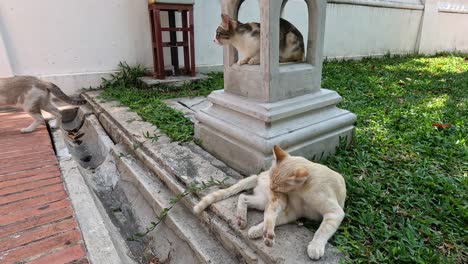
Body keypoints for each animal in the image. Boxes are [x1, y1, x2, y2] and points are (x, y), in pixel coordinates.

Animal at [192, 145, 346, 260]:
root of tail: (259, 174)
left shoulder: (332, 212)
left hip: (265, 201)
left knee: (244, 197)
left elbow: (322, 230)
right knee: (264, 211)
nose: (272, 189)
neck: (302, 192)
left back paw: (244, 220)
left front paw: (315, 246)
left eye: (277, 186)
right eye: (272, 183)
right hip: (277, 201)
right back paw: (265, 234)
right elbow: (271, 219)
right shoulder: (290, 210)